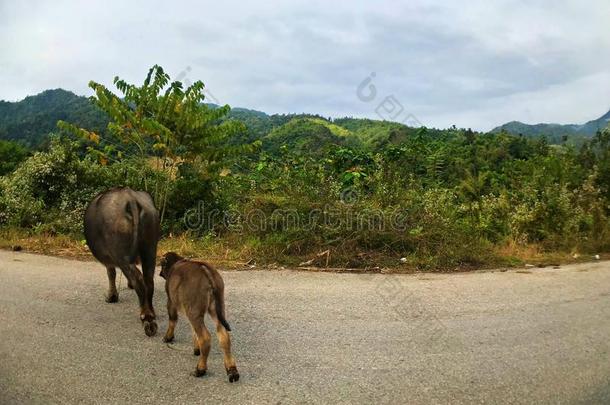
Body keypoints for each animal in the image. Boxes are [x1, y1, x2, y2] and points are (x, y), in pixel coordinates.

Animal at [85, 186, 162, 334]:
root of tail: (130, 198)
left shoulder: (108, 259)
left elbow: (111, 273)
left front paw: (111, 297)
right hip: (150, 249)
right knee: (148, 280)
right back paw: (151, 314)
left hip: (121, 254)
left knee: (137, 279)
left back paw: (146, 318)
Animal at [158, 251, 239, 380]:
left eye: (162, 265)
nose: (160, 273)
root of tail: (205, 270)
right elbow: (193, 331)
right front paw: (196, 350)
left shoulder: (171, 302)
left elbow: (172, 320)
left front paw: (167, 337)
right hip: (216, 309)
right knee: (223, 336)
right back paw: (232, 370)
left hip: (194, 312)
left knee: (205, 338)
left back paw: (200, 369)